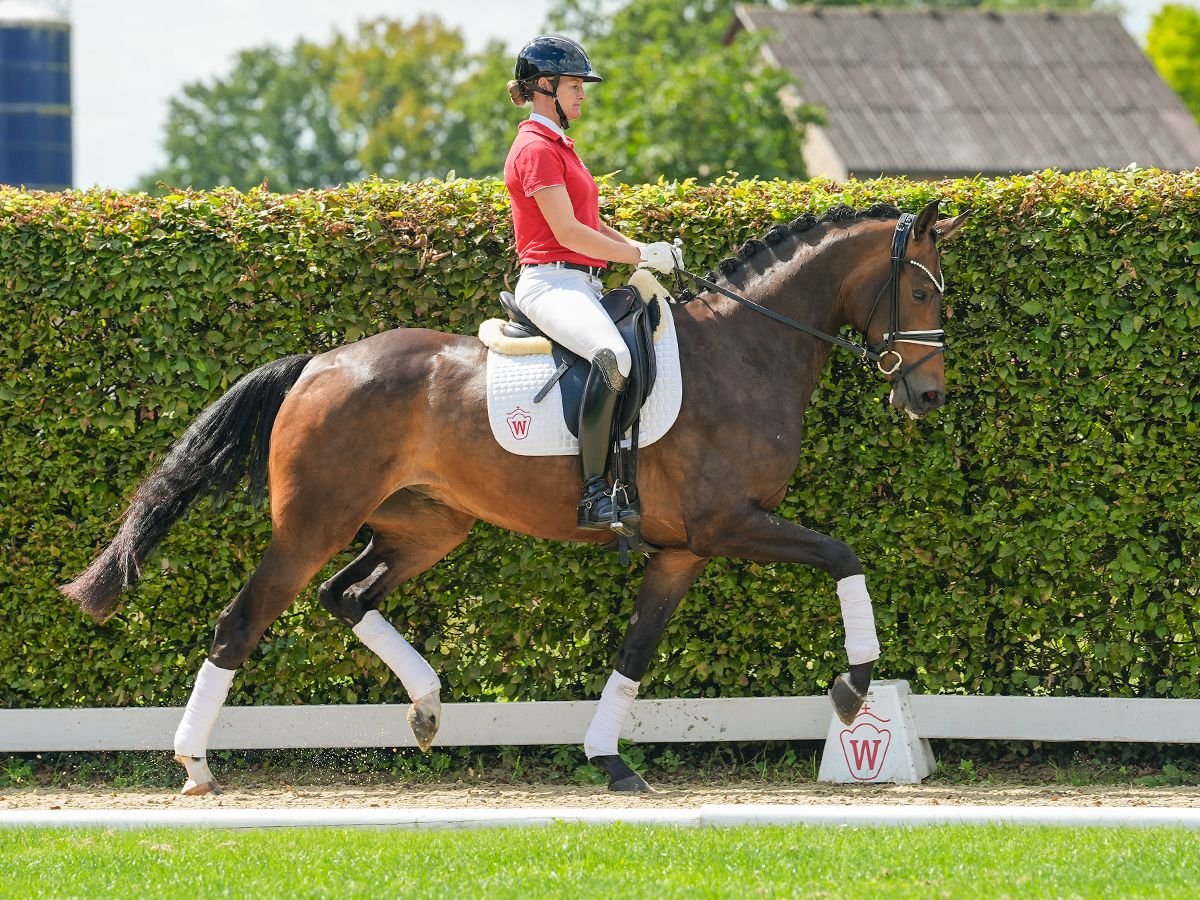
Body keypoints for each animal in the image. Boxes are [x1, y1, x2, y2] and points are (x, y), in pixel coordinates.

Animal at [60, 199, 969, 796]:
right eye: (924, 292)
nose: (925, 398)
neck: (747, 349)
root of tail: (319, 362)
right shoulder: (730, 524)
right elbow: (843, 556)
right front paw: (853, 687)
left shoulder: (683, 549)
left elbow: (635, 652)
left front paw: (609, 759)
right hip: (312, 526)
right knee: (242, 622)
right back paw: (195, 765)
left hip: (427, 526)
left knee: (346, 596)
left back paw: (427, 709)